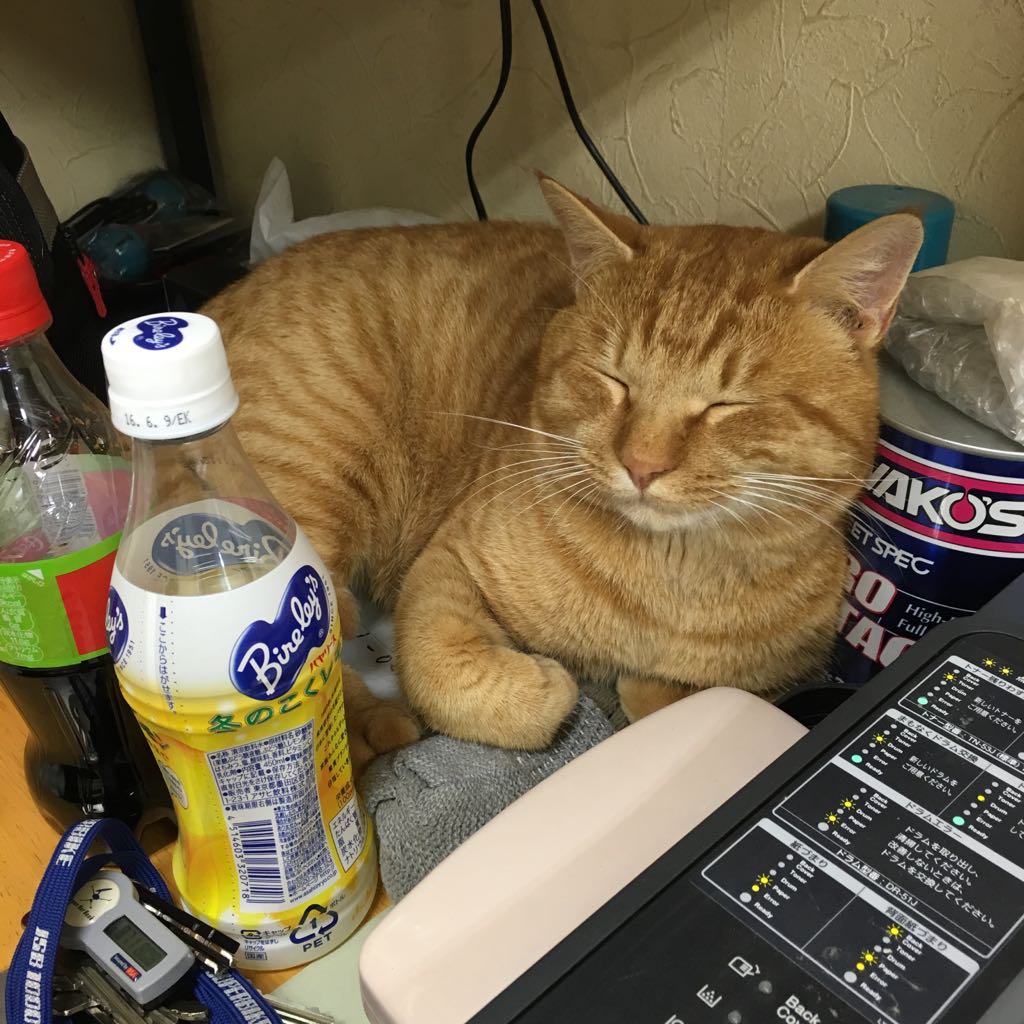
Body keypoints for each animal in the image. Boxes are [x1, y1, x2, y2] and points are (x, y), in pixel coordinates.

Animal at [203, 176, 921, 762]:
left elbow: (680, 693)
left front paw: (648, 687)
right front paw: (547, 687)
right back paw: (368, 727)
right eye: (612, 380)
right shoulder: (447, 562)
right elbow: (439, 668)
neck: (668, 581)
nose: (642, 465)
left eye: (727, 405)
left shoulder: (777, 677)